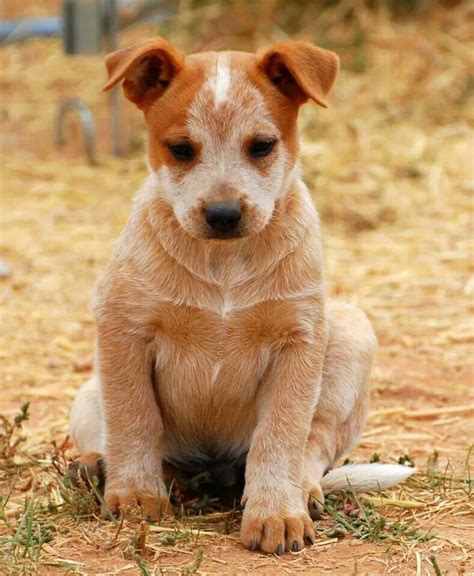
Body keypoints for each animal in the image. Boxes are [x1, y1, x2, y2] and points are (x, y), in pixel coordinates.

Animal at [70, 39, 414, 552]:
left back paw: (303, 493)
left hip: (352, 333)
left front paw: (276, 515)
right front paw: (135, 497)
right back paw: (102, 470)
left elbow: (282, 435)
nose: (223, 214)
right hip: (87, 396)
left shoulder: (297, 341)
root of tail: (215, 470)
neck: (224, 266)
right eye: (180, 149)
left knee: (314, 445)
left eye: (262, 146)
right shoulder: (123, 326)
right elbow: (135, 418)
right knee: (119, 436)